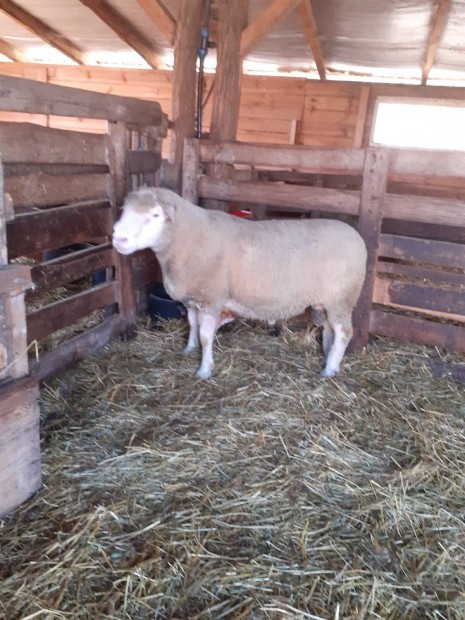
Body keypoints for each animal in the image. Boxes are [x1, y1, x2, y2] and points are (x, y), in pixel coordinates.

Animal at [111, 185, 366, 378]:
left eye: (155, 215)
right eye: (124, 210)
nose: (118, 239)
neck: (188, 238)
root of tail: (357, 236)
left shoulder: (212, 298)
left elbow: (206, 335)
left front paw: (204, 370)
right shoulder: (194, 297)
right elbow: (192, 324)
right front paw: (188, 349)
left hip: (342, 297)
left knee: (344, 332)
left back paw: (330, 370)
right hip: (329, 301)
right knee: (331, 329)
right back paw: (328, 356)